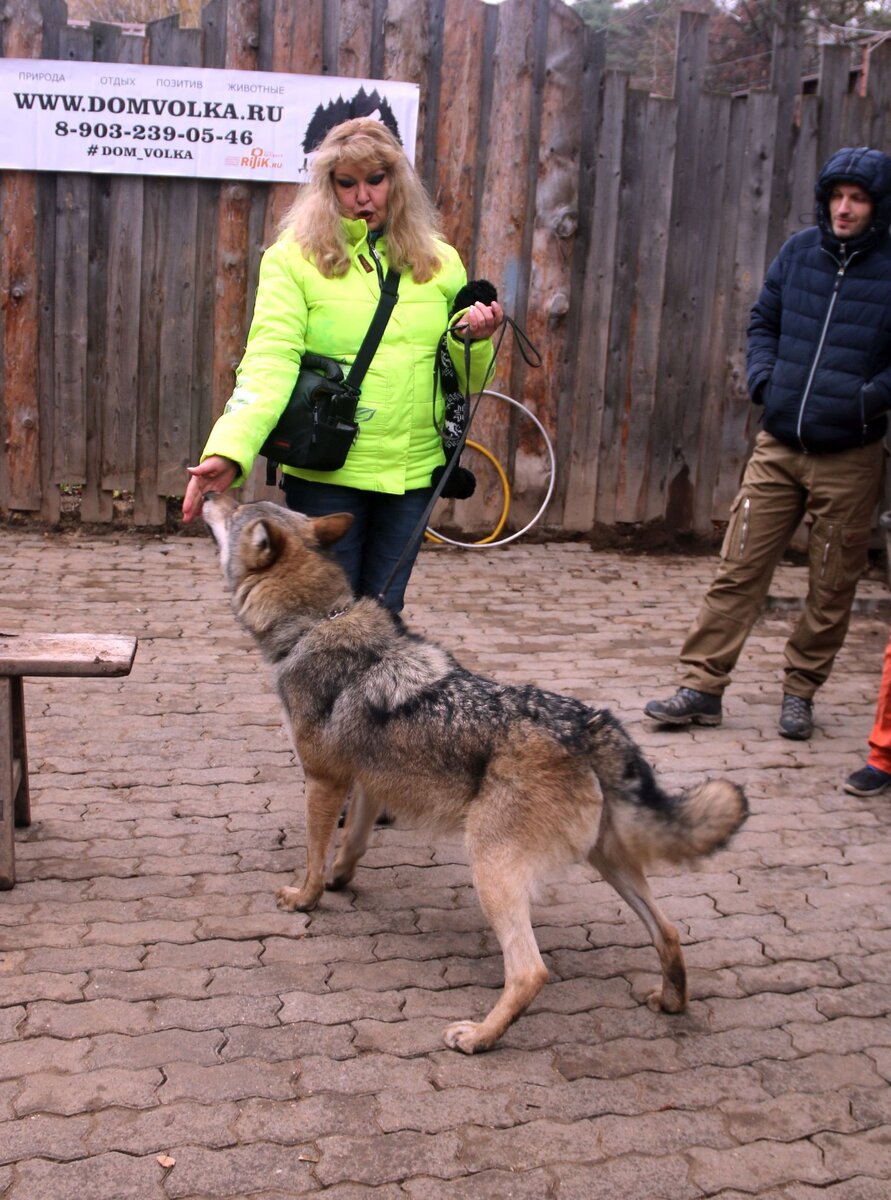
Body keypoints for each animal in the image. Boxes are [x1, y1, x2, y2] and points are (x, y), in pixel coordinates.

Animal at [202, 492, 744, 1056]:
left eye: (238, 508)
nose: (212, 491)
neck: (315, 622)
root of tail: (590, 724)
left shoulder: (324, 781)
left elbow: (312, 853)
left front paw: (304, 899)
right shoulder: (372, 781)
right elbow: (353, 843)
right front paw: (340, 879)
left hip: (491, 868)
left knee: (530, 971)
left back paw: (479, 1036)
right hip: (609, 862)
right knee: (669, 930)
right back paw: (671, 1001)